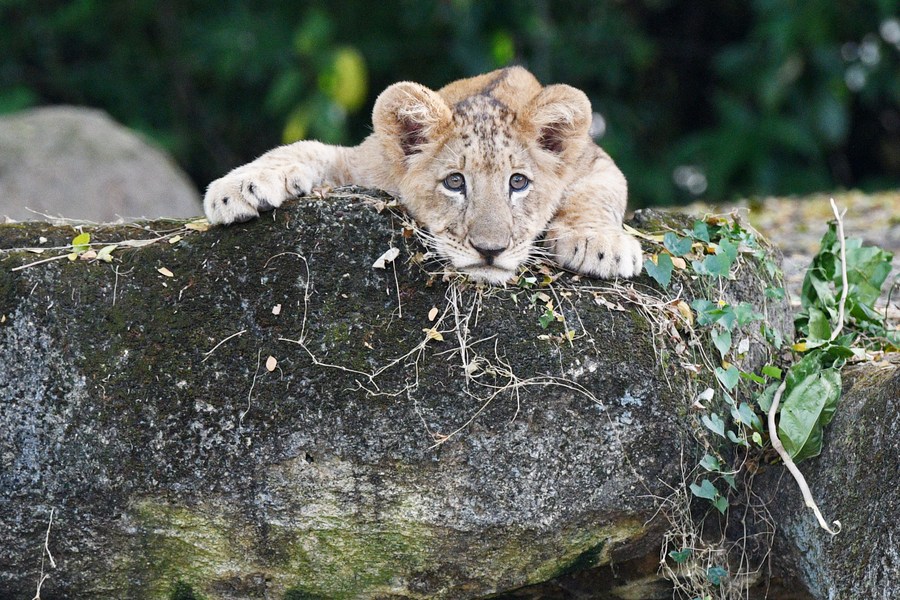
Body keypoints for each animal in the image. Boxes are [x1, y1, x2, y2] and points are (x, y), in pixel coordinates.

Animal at [204, 66, 642, 284]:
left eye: (518, 182)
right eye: (455, 182)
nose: (490, 250)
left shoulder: (596, 161)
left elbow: (597, 194)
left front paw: (601, 245)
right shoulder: (365, 160)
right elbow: (303, 148)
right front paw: (234, 189)